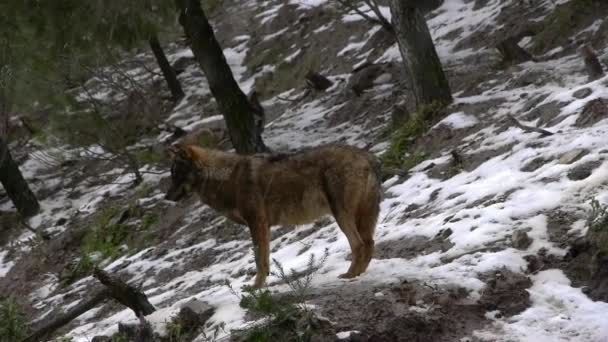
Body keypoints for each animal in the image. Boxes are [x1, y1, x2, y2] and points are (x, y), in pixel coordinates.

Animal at [165, 143, 380, 288]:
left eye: (176, 174)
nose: (166, 198)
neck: (224, 178)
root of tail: (366, 155)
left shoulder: (257, 223)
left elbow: (259, 260)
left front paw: (255, 287)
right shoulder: (264, 227)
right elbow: (265, 260)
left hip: (341, 215)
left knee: (359, 245)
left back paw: (350, 275)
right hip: (360, 218)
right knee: (369, 244)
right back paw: (359, 274)